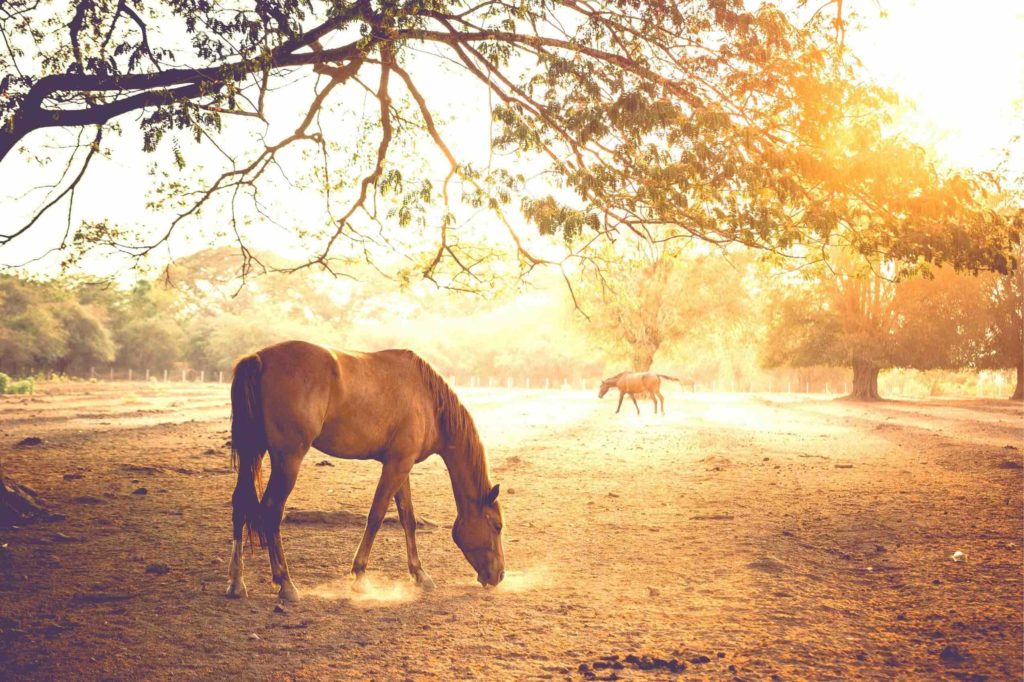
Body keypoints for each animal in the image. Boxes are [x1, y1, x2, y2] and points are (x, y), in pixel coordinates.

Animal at [230, 339, 505, 602]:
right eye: (497, 526)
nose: (500, 575)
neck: (427, 400)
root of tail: (258, 359)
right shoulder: (397, 465)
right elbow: (376, 516)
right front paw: (360, 575)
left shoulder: (400, 465)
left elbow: (408, 519)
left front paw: (420, 574)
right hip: (288, 461)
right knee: (271, 511)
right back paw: (285, 583)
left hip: (252, 452)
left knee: (240, 504)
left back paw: (236, 583)